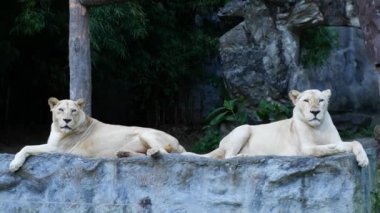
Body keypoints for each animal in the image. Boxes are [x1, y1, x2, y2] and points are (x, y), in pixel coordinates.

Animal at [8, 97, 186, 172]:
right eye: (60, 110)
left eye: (73, 110)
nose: (66, 120)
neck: (58, 129)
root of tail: (179, 143)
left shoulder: (59, 150)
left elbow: (26, 147)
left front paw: (14, 165)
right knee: (143, 155)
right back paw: (124, 154)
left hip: (147, 133)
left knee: (165, 154)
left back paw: (153, 152)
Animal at [189, 89, 370, 167]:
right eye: (306, 100)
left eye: (321, 100)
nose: (315, 112)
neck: (317, 127)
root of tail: (221, 143)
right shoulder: (304, 149)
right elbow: (321, 149)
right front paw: (336, 149)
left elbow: (356, 142)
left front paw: (364, 160)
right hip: (244, 128)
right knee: (228, 157)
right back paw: (246, 156)